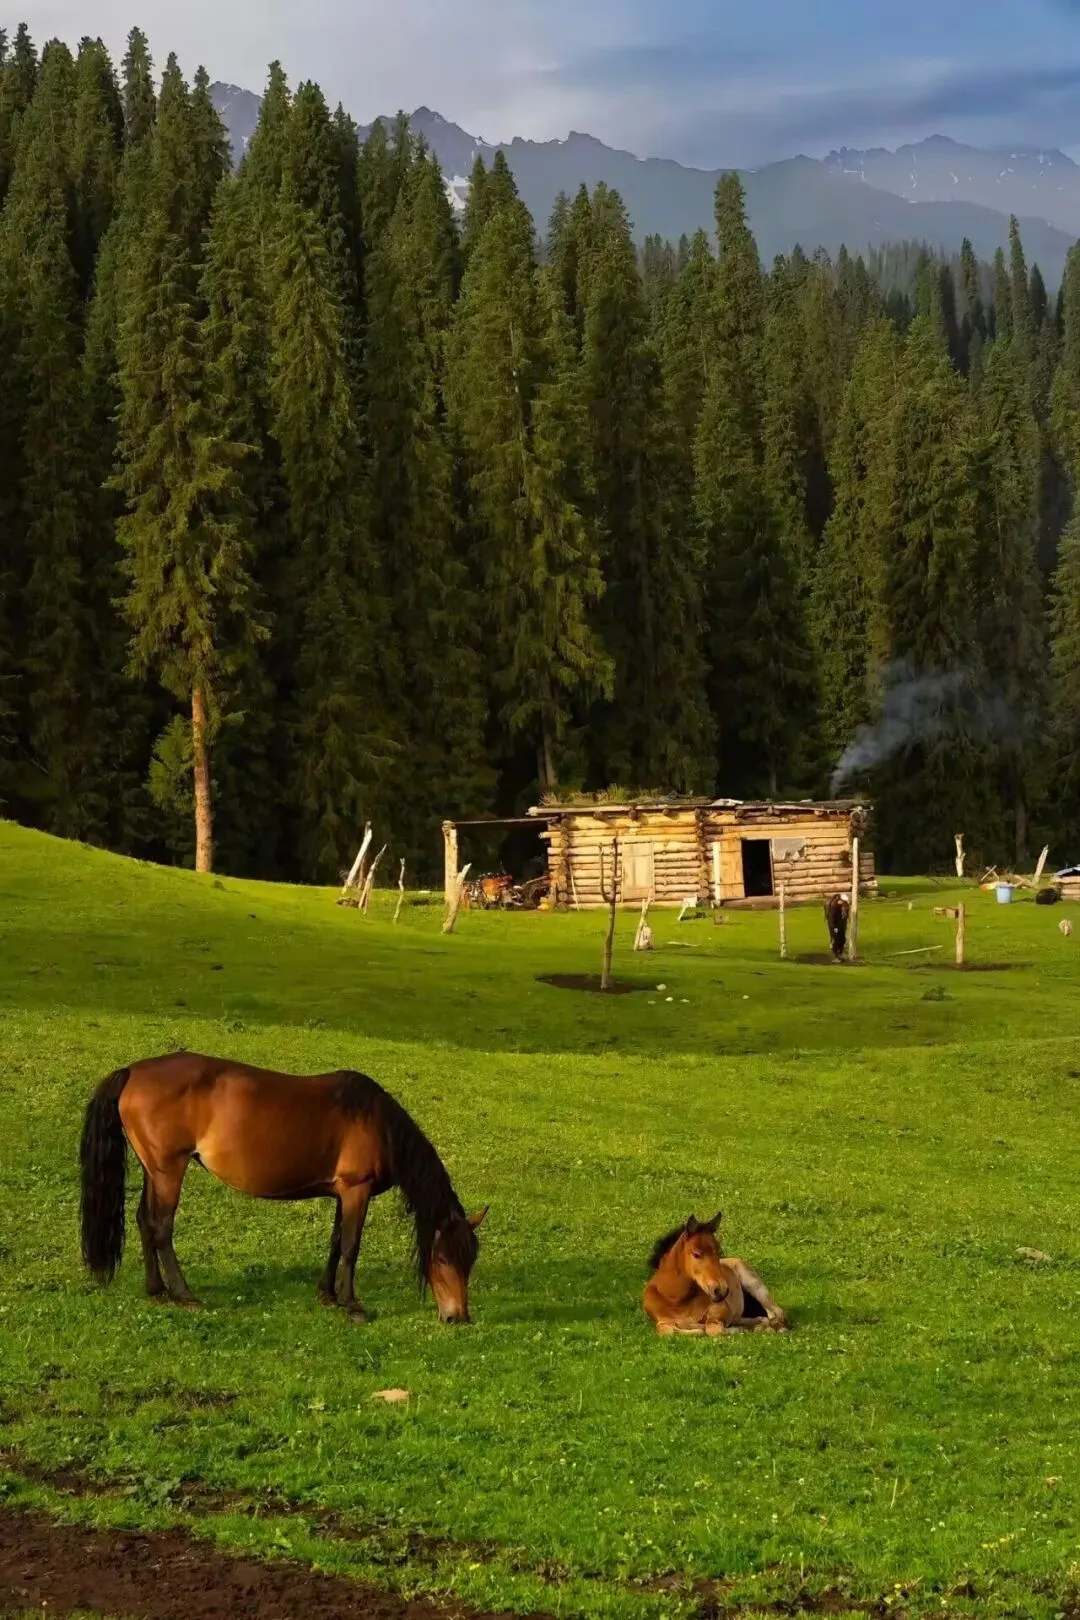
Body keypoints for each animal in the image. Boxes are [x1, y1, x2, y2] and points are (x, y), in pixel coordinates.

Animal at [79, 1052, 487, 1324]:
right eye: (443, 1258)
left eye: (470, 1260)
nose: (458, 1317)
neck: (376, 1122)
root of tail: (132, 1072)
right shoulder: (357, 1190)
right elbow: (351, 1246)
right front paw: (352, 1305)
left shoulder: (342, 1192)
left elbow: (336, 1242)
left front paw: (328, 1295)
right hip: (168, 1170)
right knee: (161, 1228)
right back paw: (183, 1294)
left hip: (155, 1169)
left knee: (144, 1222)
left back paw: (157, 1290)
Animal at [642, 1213, 787, 1336]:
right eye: (696, 1254)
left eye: (719, 1251)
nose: (721, 1290)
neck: (676, 1300)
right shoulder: (662, 1320)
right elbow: (667, 1331)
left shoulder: (720, 1309)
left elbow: (712, 1329)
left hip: (754, 1285)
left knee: (776, 1314)